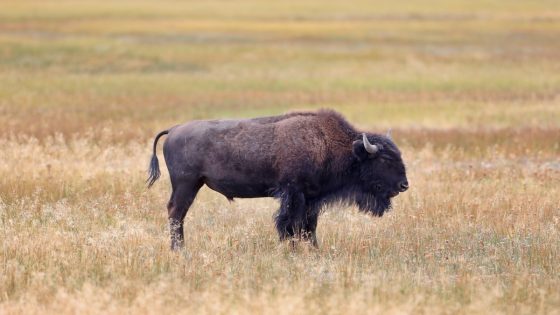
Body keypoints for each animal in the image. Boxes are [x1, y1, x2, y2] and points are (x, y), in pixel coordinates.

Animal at [147, 110, 406, 251]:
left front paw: (313, 248)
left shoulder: (312, 199)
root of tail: (174, 129)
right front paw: (291, 248)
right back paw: (179, 249)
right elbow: (289, 224)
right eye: (384, 159)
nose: (404, 185)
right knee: (176, 213)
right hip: (186, 185)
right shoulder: (293, 194)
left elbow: (309, 227)